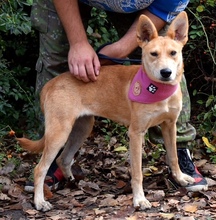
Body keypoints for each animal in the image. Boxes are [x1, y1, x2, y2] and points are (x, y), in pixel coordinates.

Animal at [17, 11, 195, 211]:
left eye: (173, 53)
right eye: (153, 54)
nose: (166, 73)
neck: (159, 90)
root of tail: (51, 84)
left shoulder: (170, 126)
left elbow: (174, 157)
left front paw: (180, 178)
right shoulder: (136, 133)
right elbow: (137, 172)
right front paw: (139, 199)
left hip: (82, 128)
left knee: (63, 158)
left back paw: (71, 180)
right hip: (59, 133)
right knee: (40, 168)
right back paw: (40, 201)